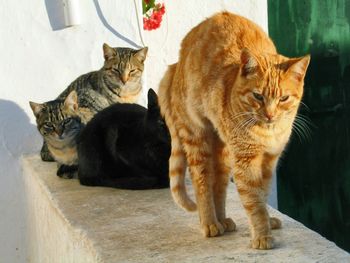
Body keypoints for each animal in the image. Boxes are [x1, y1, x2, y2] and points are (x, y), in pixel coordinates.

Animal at [158, 11, 308, 250]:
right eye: (258, 96)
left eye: (283, 98)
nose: (270, 115)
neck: (268, 132)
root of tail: (176, 64)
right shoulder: (246, 162)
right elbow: (253, 201)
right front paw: (262, 235)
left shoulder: (268, 161)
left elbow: (262, 194)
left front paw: (267, 221)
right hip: (198, 139)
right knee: (202, 182)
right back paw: (209, 222)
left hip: (224, 150)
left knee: (218, 184)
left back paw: (222, 220)